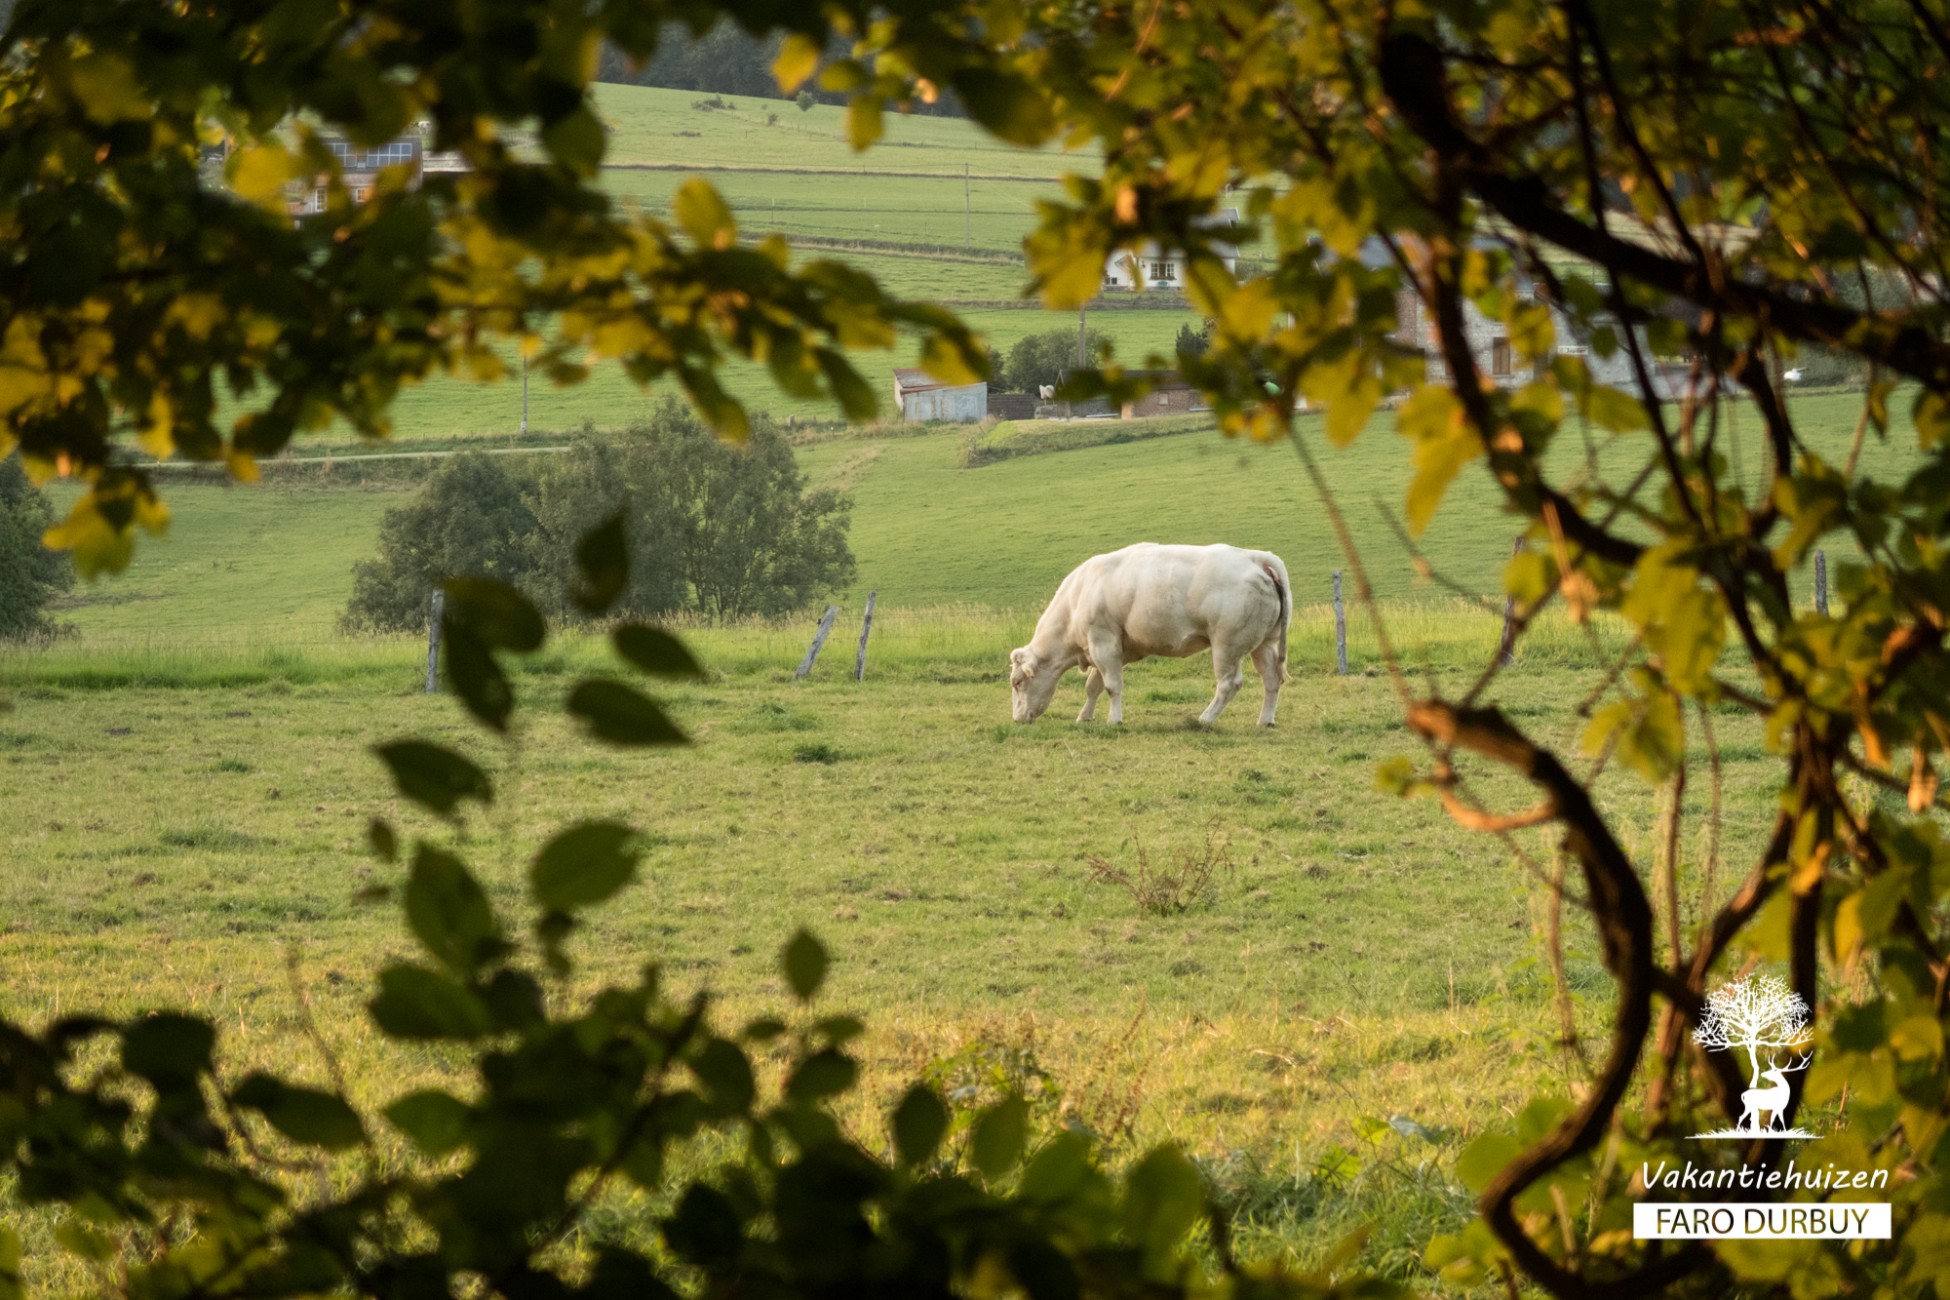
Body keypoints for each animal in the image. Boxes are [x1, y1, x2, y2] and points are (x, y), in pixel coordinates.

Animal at [1008, 543, 1290, 726]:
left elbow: (1111, 686)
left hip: (1227, 646)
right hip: (1263, 644)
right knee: (1272, 679)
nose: (1017, 719)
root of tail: (1255, 557)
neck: (1077, 598)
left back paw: (1205, 719)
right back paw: (1265, 720)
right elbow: (1093, 686)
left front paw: (1114, 720)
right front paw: (1084, 717)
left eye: (1017, 682)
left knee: (1228, 684)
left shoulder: (1103, 642)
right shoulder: (1106, 648)